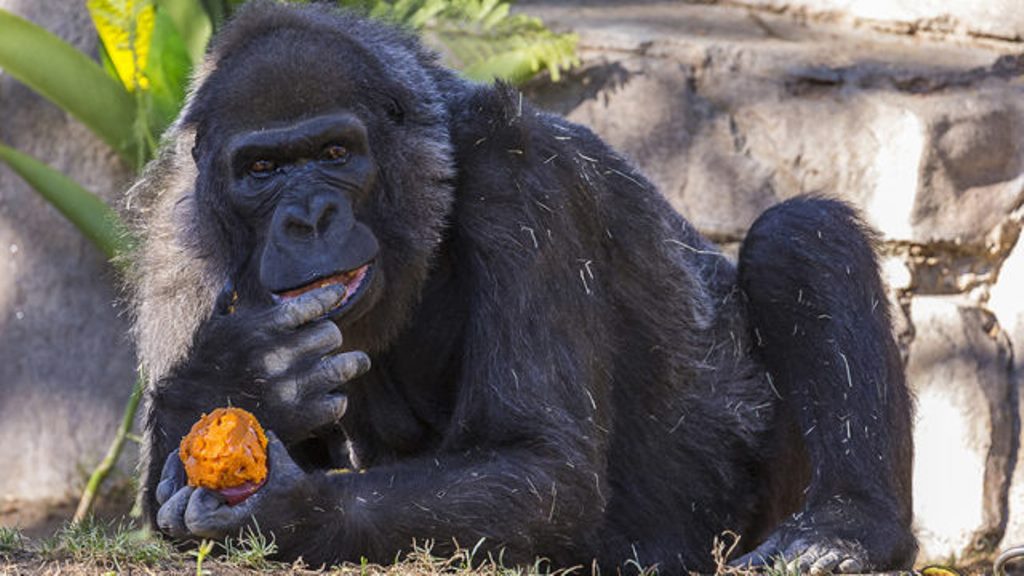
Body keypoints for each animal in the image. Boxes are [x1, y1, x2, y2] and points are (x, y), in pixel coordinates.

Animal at [123, 3, 917, 569]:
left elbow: (542, 466)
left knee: (799, 237)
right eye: (261, 170)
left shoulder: (526, 174)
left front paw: (296, 509)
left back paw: (847, 531)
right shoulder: (174, 238)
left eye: (335, 153)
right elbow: (162, 493)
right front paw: (247, 377)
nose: (309, 217)